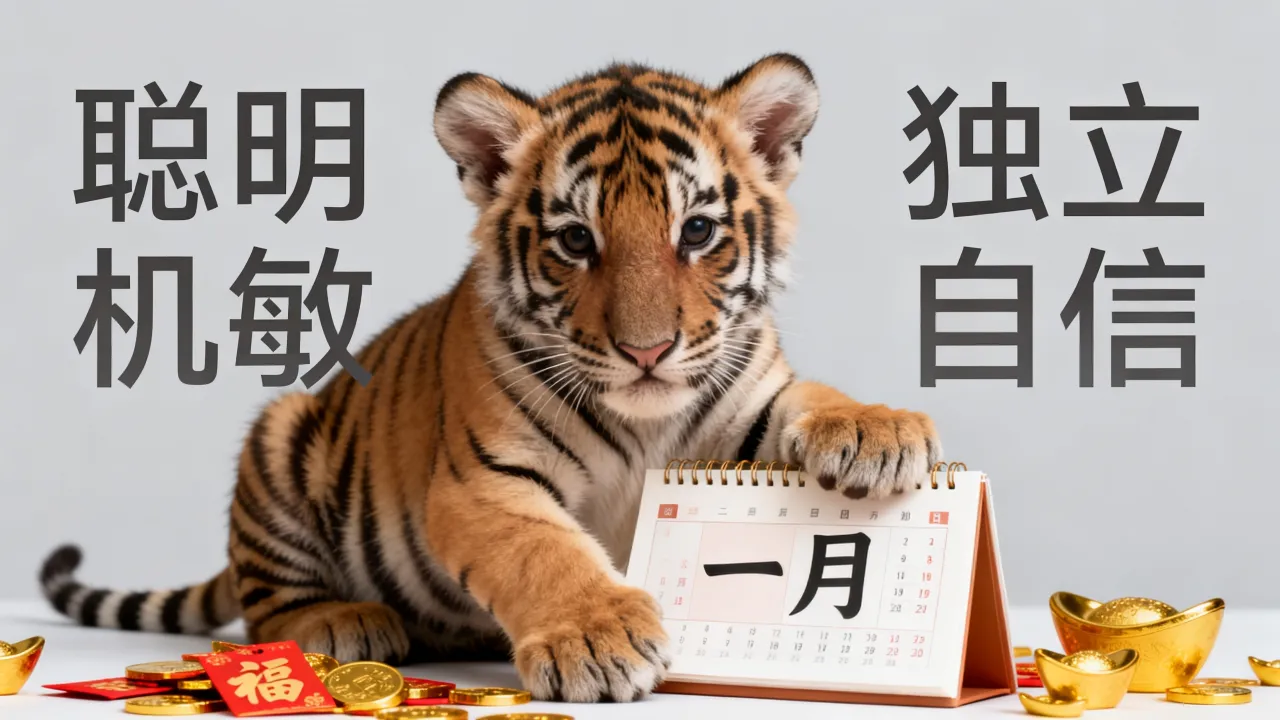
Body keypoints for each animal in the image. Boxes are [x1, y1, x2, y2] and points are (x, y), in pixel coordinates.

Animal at [38, 53, 942, 703]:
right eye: (576, 240)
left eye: (696, 231)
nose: (648, 351)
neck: (645, 421)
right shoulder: (483, 481)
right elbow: (543, 550)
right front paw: (598, 639)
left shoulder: (745, 403)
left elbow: (808, 397)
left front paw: (879, 429)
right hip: (281, 436)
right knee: (272, 599)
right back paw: (345, 620)